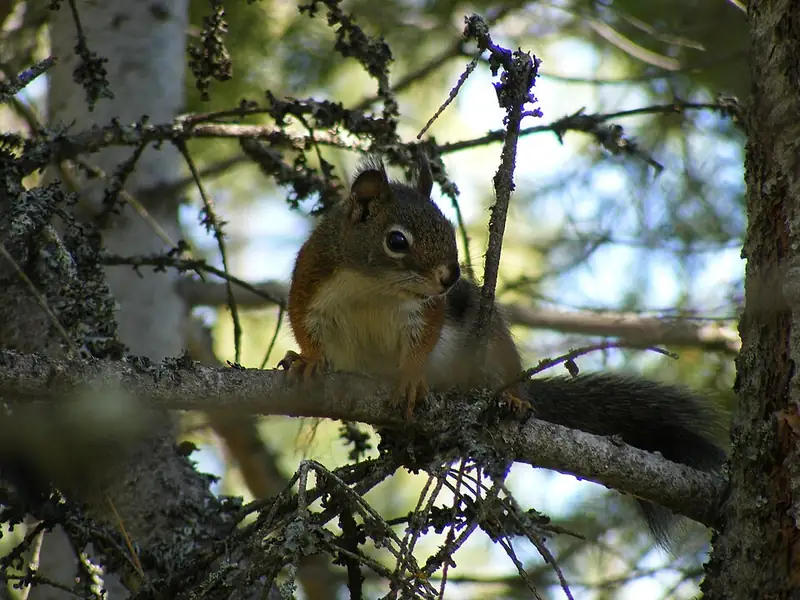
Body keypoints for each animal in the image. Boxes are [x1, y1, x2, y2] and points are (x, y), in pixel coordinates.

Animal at [279, 153, 727, 547]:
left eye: (447, 227)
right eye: (397, 241)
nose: (451, 277)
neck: (374, 288)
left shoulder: (430, 310)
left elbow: (422, 343)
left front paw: (410, 377)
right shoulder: (310, 284)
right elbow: (304, 328)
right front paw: (307, 360)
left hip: (492, 342)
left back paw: (512, 398)